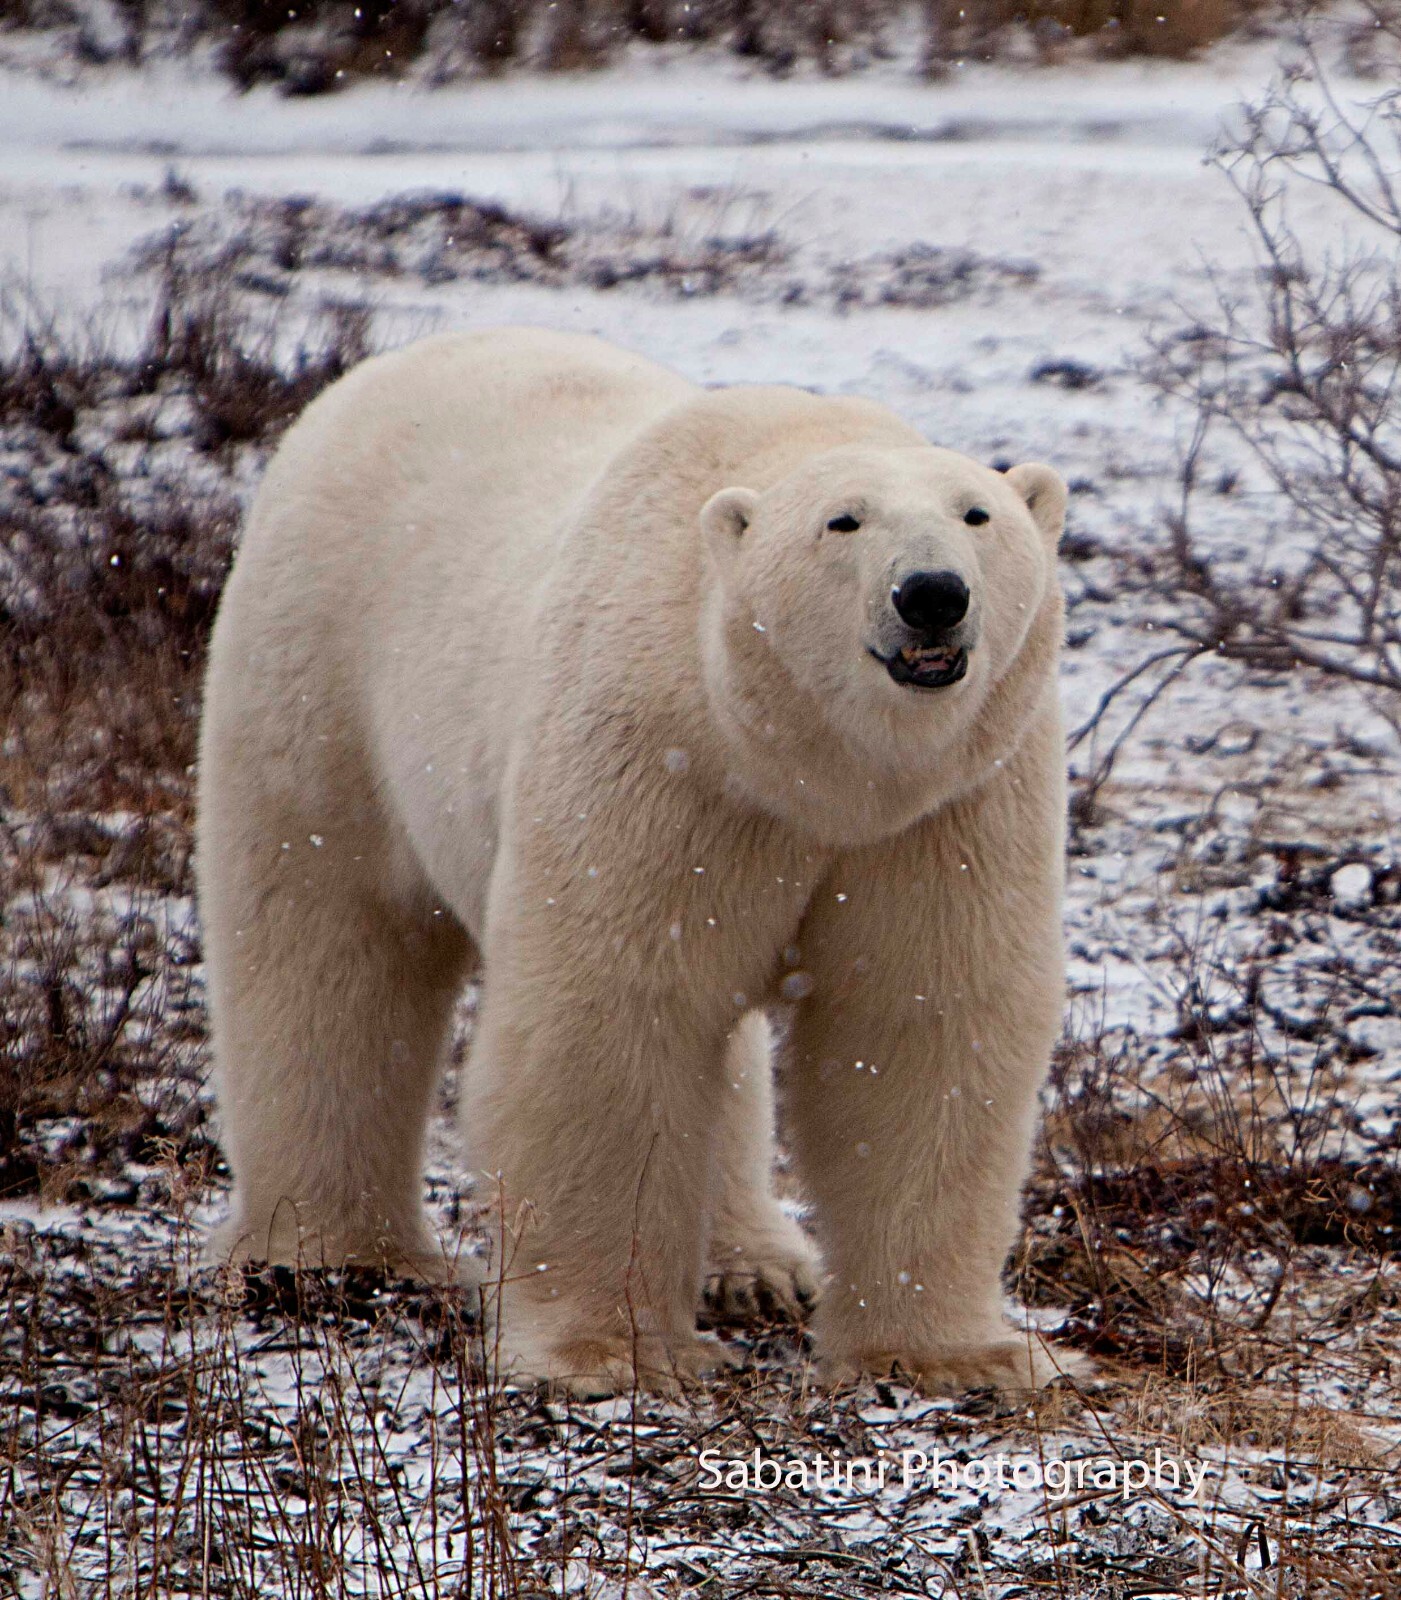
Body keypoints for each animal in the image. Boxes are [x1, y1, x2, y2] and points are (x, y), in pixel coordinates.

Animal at [196, 325, 1074, 1398]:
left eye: (976, 513)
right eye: (842, 522)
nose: (933, 595)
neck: (810, 770)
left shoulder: (947, 807)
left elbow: (919, 1021)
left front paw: (957, 1356)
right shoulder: (656, 754)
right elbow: (613, 1014)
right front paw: (611, 1352)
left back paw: (756, 1267)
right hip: (317, 669)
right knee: (323, 944)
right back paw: (325, 1255)